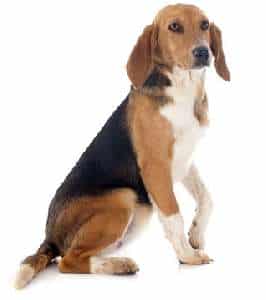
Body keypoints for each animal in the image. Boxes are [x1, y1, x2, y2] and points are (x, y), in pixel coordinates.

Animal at [14, 2, 230, 288]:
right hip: (124, 198)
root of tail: (49, 237)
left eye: (205, 24)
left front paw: (195, 236)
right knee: (69, 261)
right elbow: (173, 215)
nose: (203, 52)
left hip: (138, 211)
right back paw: (119, 265)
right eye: (174, 26)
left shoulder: (184, 160)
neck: (182, 87)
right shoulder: (156, 167)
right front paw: (187, 256)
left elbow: (207, 198)